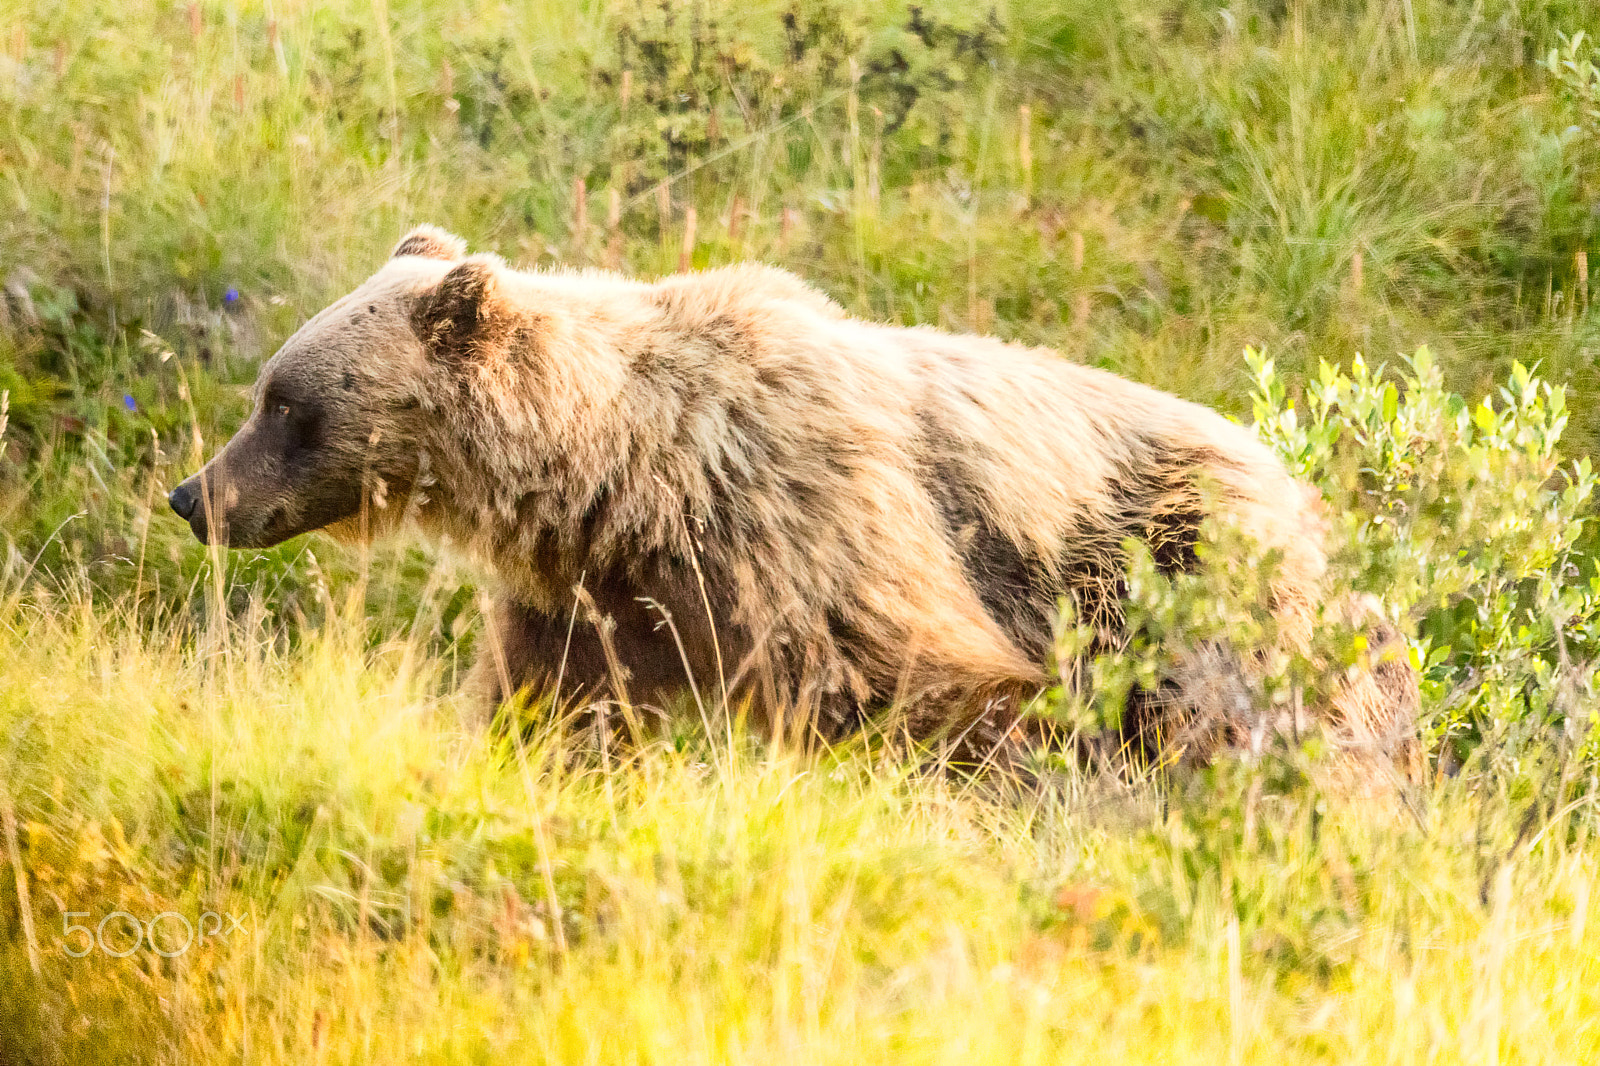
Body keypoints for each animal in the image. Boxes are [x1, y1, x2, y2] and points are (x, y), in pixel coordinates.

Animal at [168, 225, 1419, 783]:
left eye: (286, 403)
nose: (195, 496)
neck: (620, 479)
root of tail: (1323, 503)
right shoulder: (594, 600)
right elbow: (556, 711)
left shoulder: (811, 532)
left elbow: (937, 689)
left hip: (1195, 577)